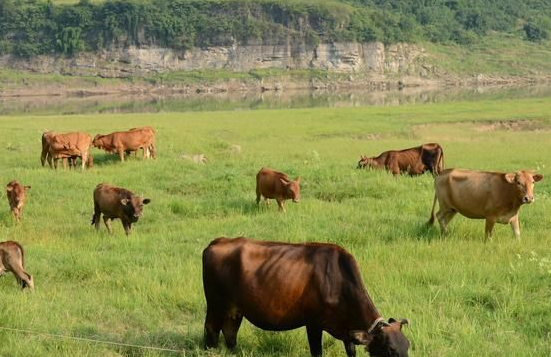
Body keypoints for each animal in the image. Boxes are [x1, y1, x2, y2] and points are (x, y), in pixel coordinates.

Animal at [205, 236, 412, 356]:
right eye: (391, 350)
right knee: (211, 329)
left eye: (408, 345)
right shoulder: (313, 323)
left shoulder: (347, 330)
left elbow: (351, 351)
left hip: (235, 309)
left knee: (230, 331)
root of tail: (218, 240)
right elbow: (317, 352)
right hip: (215, 304)